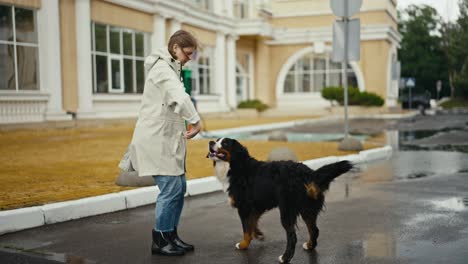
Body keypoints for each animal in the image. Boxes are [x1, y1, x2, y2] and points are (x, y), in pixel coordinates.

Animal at [207, 137, 352, 262]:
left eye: (225, 143)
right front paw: (258, 234)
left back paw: (285, 258)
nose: (210, 142)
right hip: (307, 210)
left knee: (292, 237)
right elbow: (253, 224)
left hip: (287, 211)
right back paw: (309, 246)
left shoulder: (244, 207)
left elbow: (246, 230)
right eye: (217, 140)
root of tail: (308, 173)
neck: (236, 165)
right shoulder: (256, 205)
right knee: (314, 230)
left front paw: (243, 245)